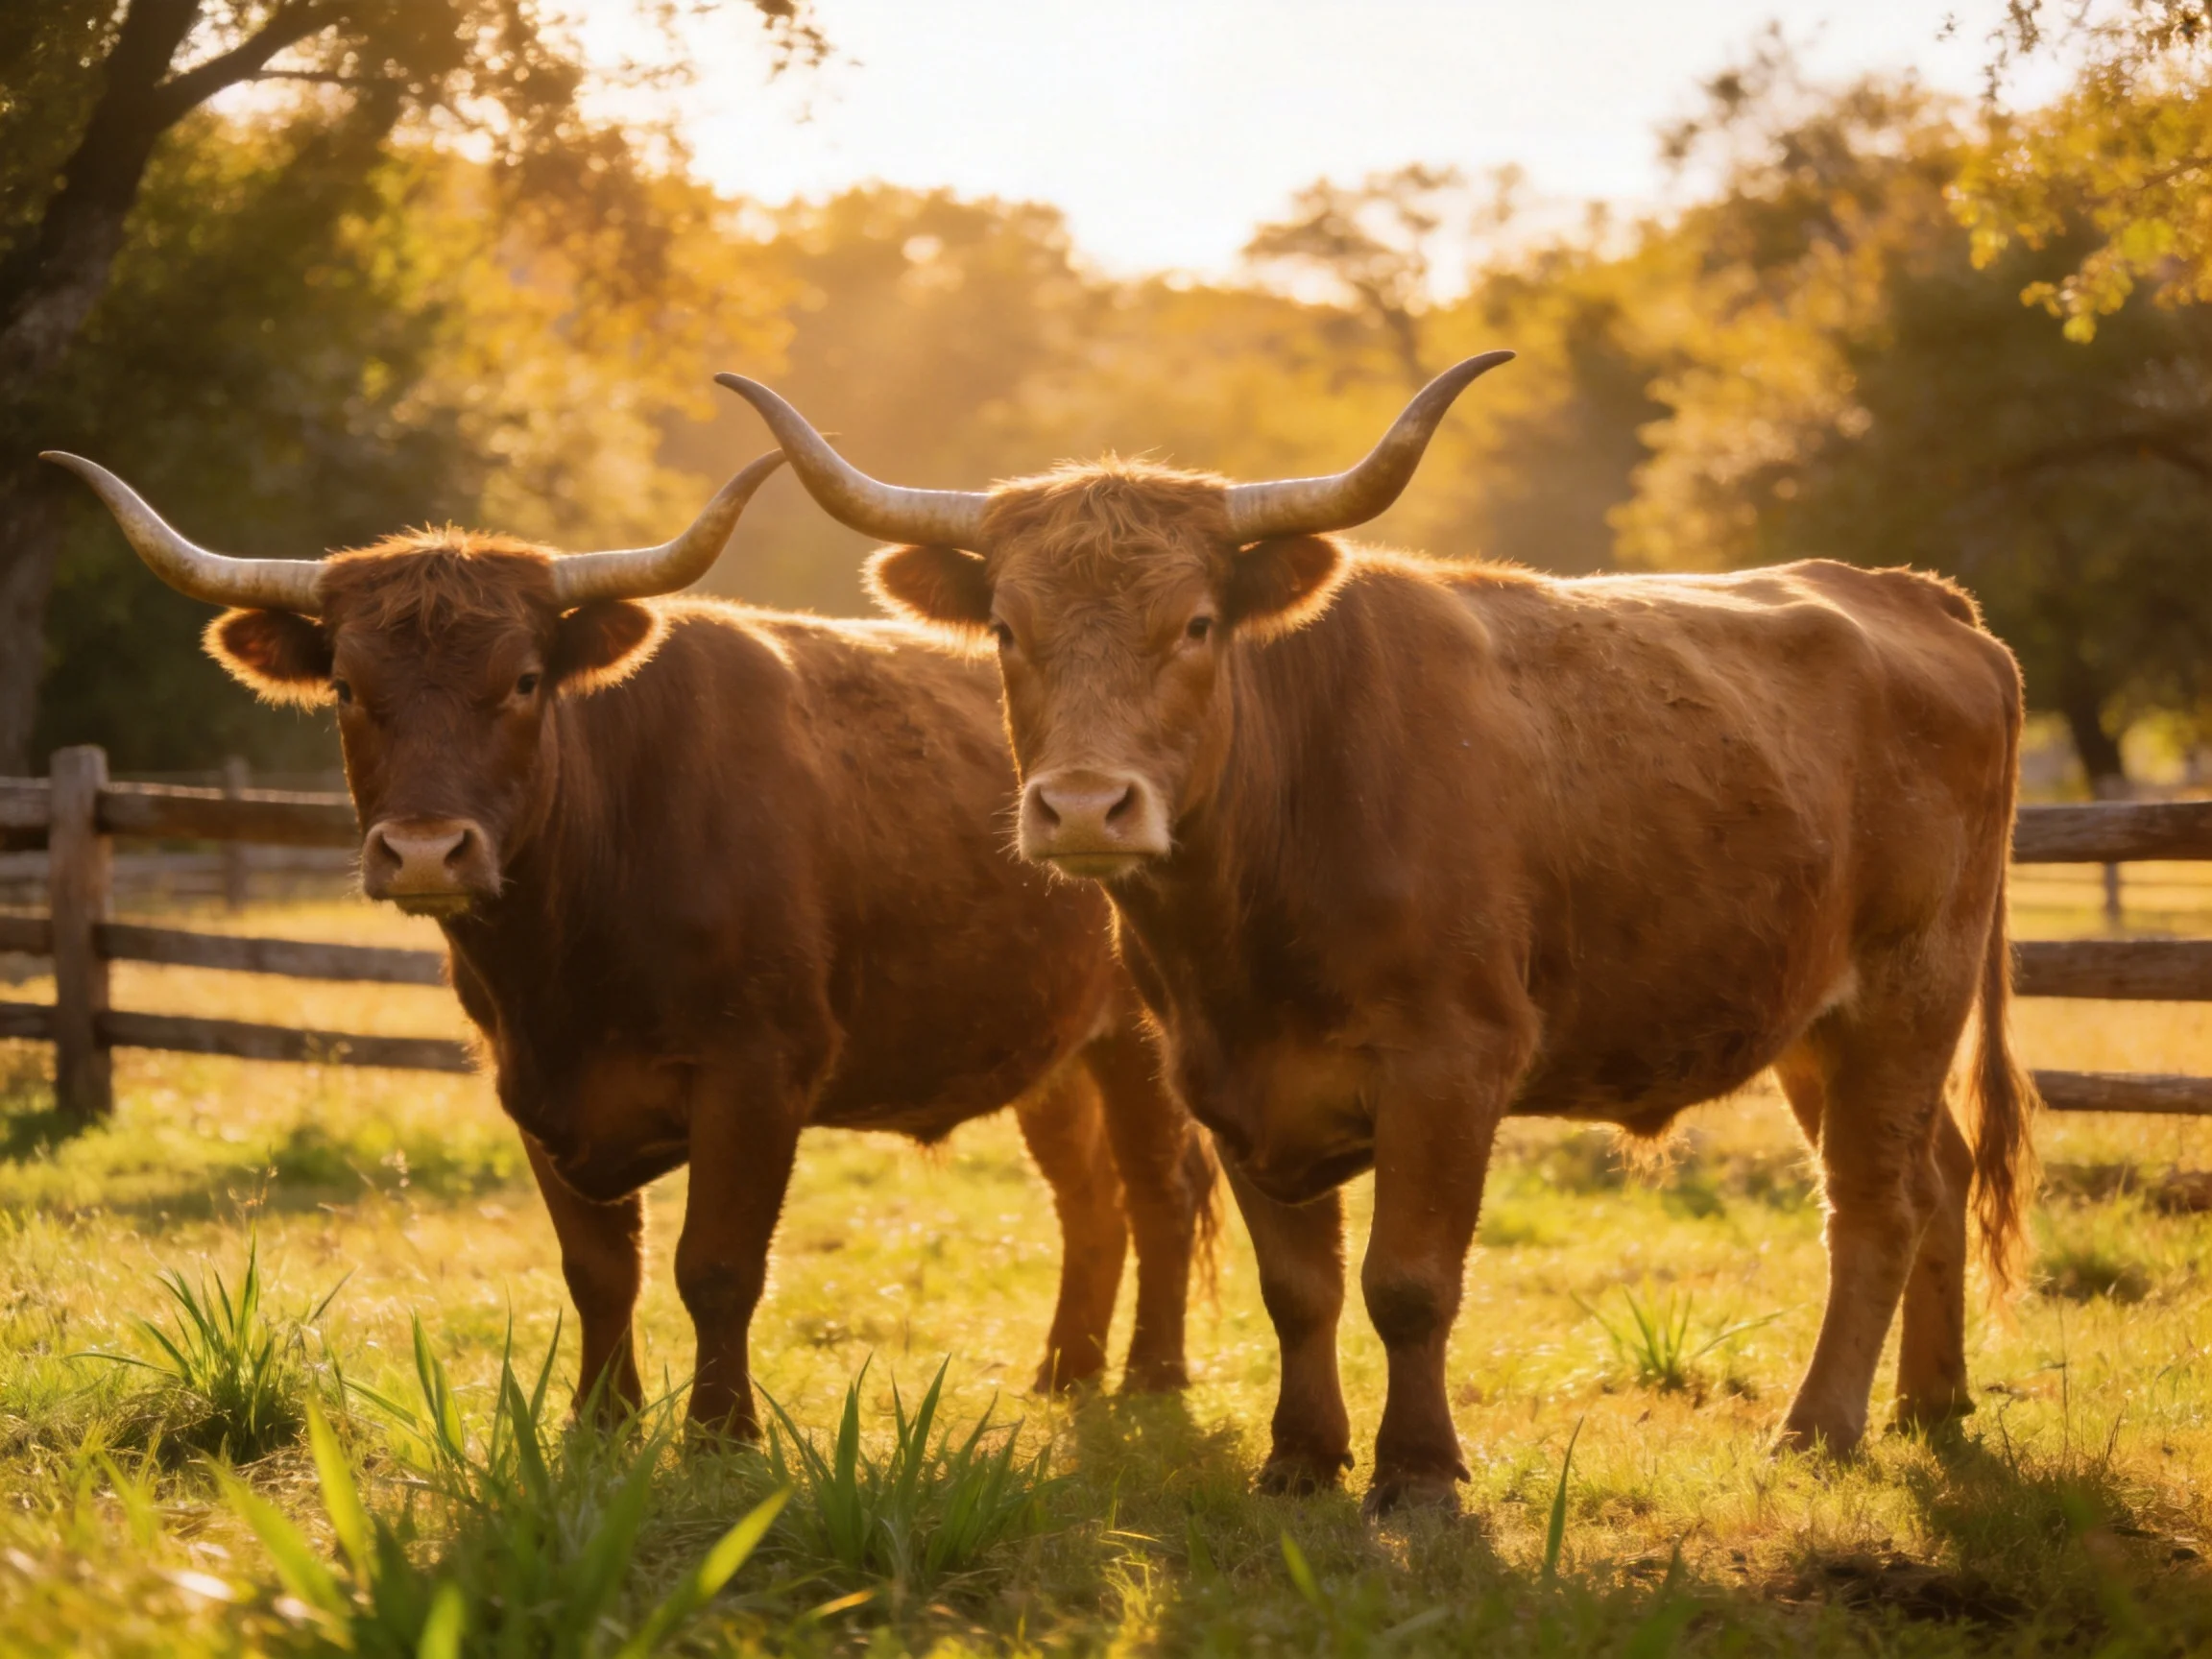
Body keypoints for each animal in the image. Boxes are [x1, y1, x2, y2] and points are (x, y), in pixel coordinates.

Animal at [45, 447, 1215, 1436]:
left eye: (523, 680)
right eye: (345, 687)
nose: (425, 850)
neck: (563, 963)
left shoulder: (757, 1070)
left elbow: (718, 1264)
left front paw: (721, 1434)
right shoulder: (528, 1082)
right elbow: (599, 1270)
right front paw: (600, 1422)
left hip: (1141, 1040)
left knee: (1161, 1190)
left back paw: (1153, 1377)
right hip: (1050, 1053)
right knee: (1088, 1201)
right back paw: (1063, 1371)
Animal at [719, 355, 2038, 1515]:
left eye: (1196, 624)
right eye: (1003, 628)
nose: (1086, 807)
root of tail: (1915, 594)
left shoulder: (1451, 1065)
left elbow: (1407, 1284)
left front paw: (1418, 1474)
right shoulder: (1225, 1080)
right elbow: (1296, 1289)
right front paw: (1301, 1458)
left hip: (1908, 991)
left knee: (1873, 1202)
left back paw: (1821, 1426)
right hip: (1819, 1021)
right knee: (1933, 1174)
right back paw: (1931, 1401)